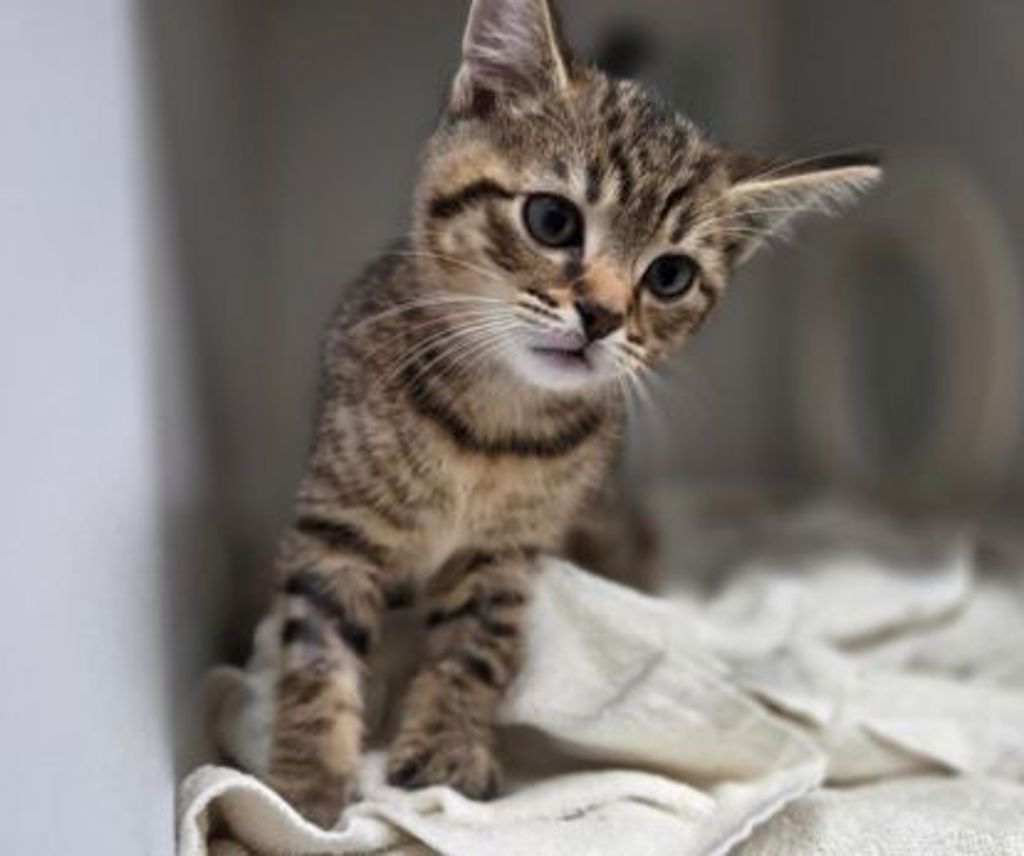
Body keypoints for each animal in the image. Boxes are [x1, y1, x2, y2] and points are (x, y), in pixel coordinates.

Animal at [264, 0, 880, 827]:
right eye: (552, 220)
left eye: (670, 276)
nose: (602, 315)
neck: (490, 425)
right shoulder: (338, 523)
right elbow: (315, 647)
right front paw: (305, 786)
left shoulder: (509, 554)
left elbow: (478, 646)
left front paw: (448, 744)